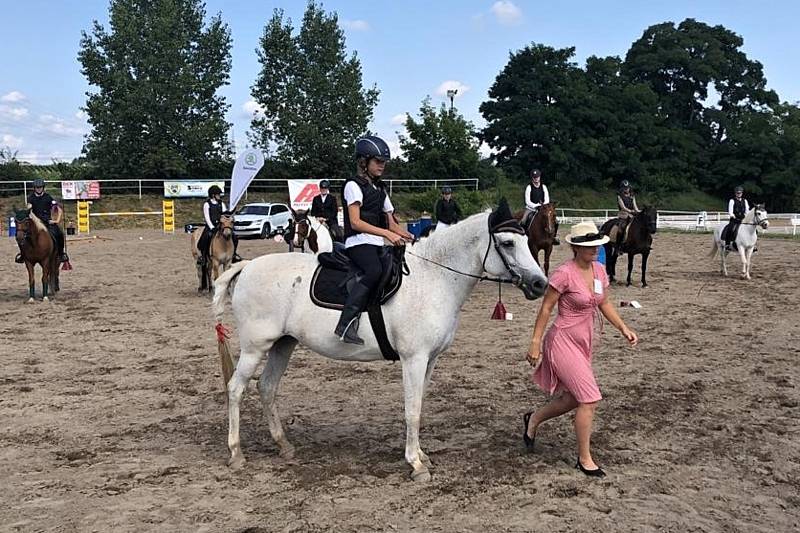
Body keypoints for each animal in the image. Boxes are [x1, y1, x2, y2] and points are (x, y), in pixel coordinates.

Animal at [211, 206, 552, 480]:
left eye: (526, 242)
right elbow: (412, 409)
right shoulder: (414, 359)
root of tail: (248, 266)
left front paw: (421, 455)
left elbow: (419, 405)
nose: (540, 284)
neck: (433, 277)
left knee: (266, 387)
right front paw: (416, 464)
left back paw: (283, 445)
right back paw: (236, 453)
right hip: (255, 347)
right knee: (236, 389)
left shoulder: (430, 360)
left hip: (283, 344)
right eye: (507, 243)